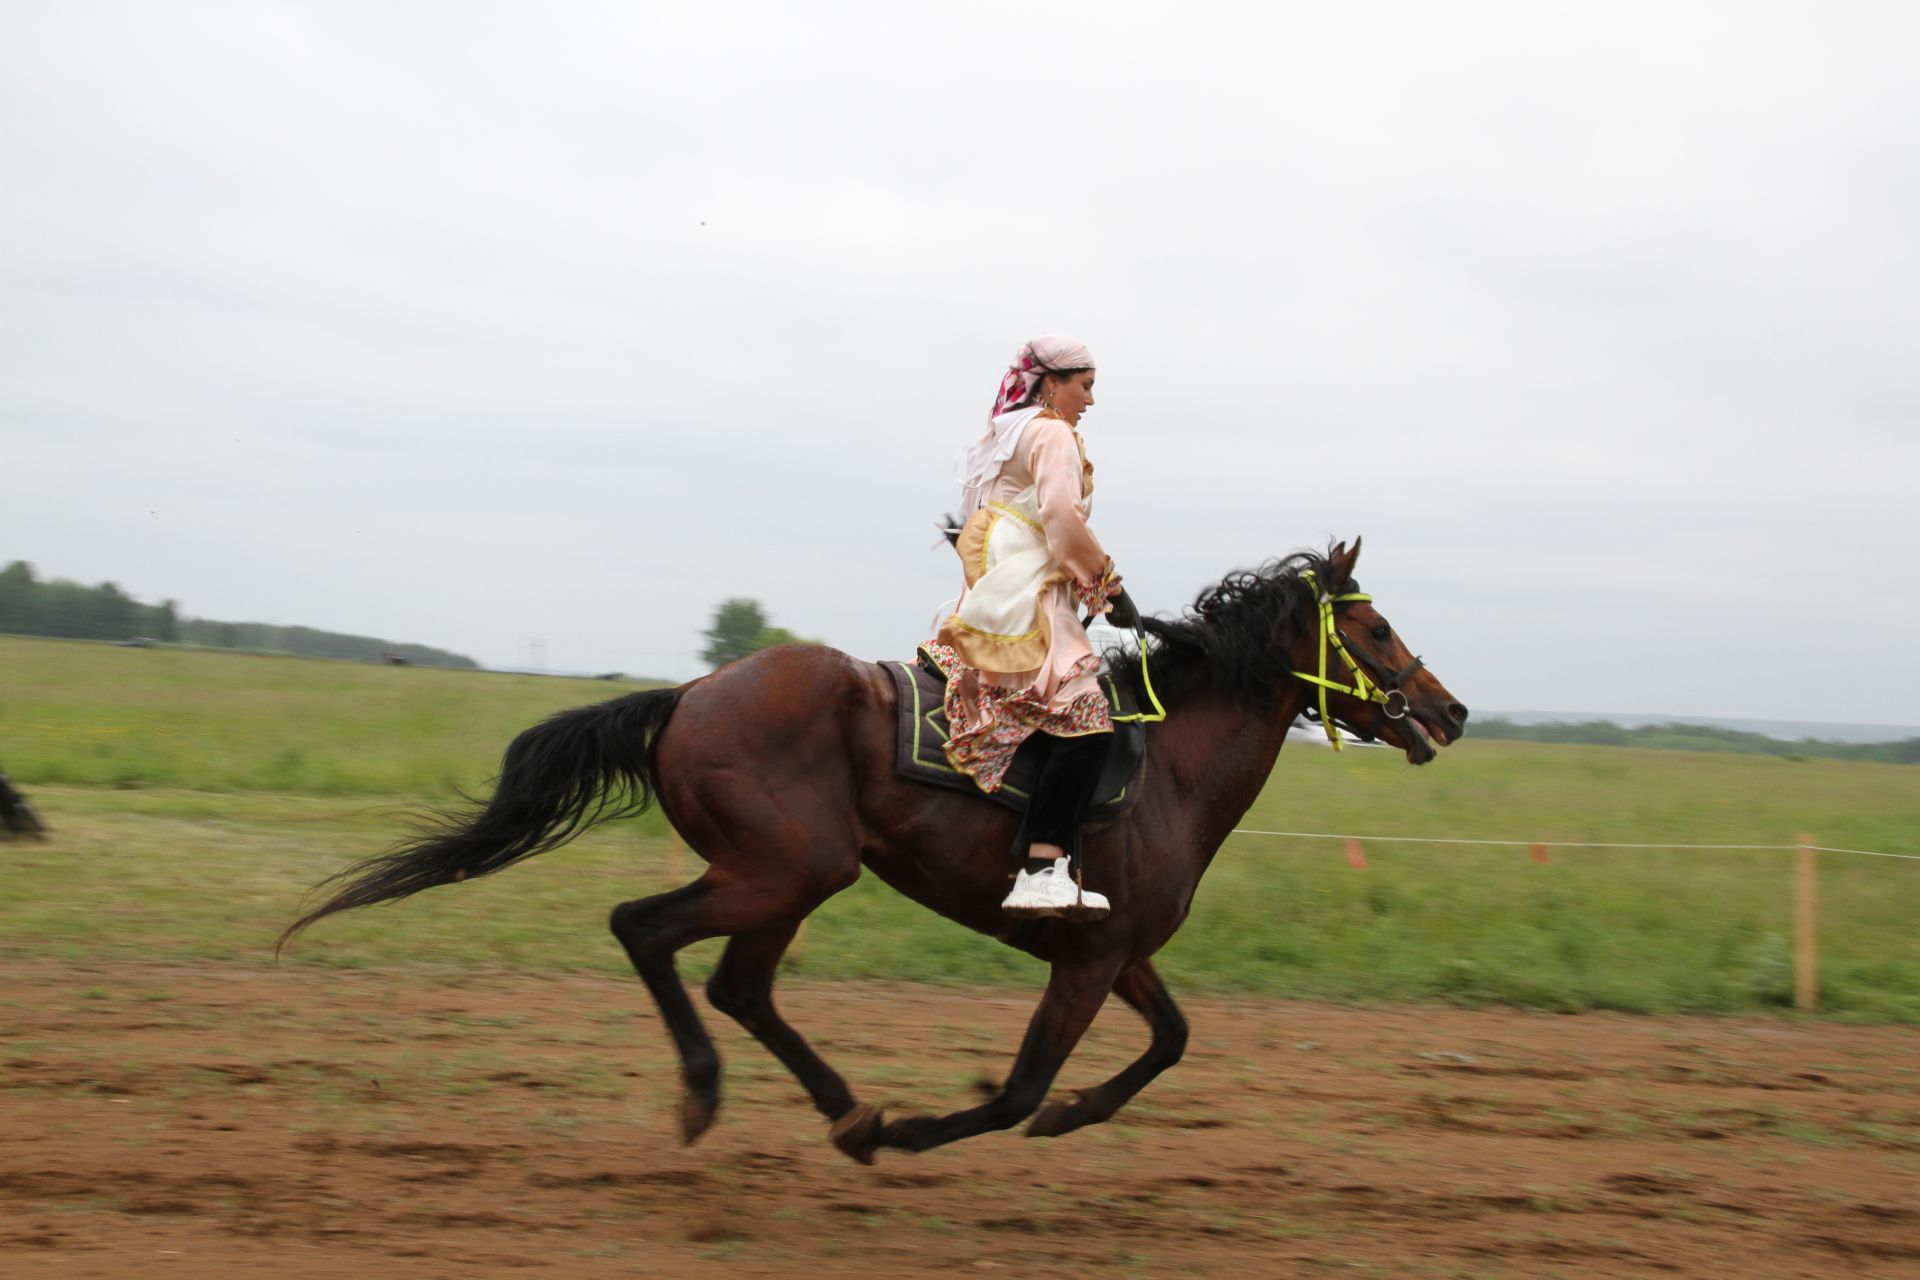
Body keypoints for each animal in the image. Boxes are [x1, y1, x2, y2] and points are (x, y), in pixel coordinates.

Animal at [280, 537, 1466, 1166]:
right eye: (1374, 630)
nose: (1450, 711)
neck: (1167, 766)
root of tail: (690, 694)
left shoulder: (1119, 951)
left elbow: (1170, 1041)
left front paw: (1068, 1113)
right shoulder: (1087, 962)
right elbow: (1017, 1089)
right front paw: (924, 1129)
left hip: (783, 879)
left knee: (738, 984)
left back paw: (842, 1108)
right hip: (787, 869)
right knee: (647, 932)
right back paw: (725, 1096)